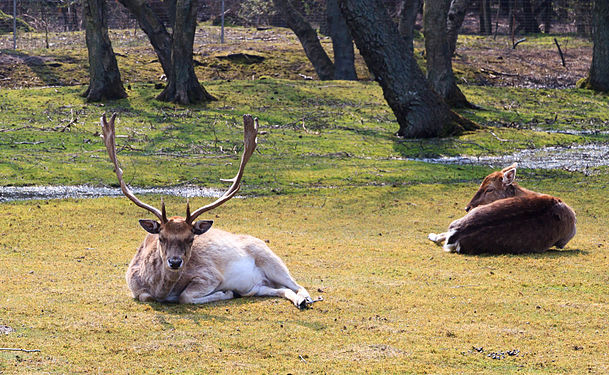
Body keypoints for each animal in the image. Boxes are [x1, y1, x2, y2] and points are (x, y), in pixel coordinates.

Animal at [100, 114, 314, 308]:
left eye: (191, 239)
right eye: (161, 237)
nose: (175, 262)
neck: (160, 289)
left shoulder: (209, 275)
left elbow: (185, 297)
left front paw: (227, 292)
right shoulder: (135, 288)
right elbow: (146, 297)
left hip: (270, 258)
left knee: (297, 284)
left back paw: (305, 299)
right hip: (261, 284)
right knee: (278, 289)